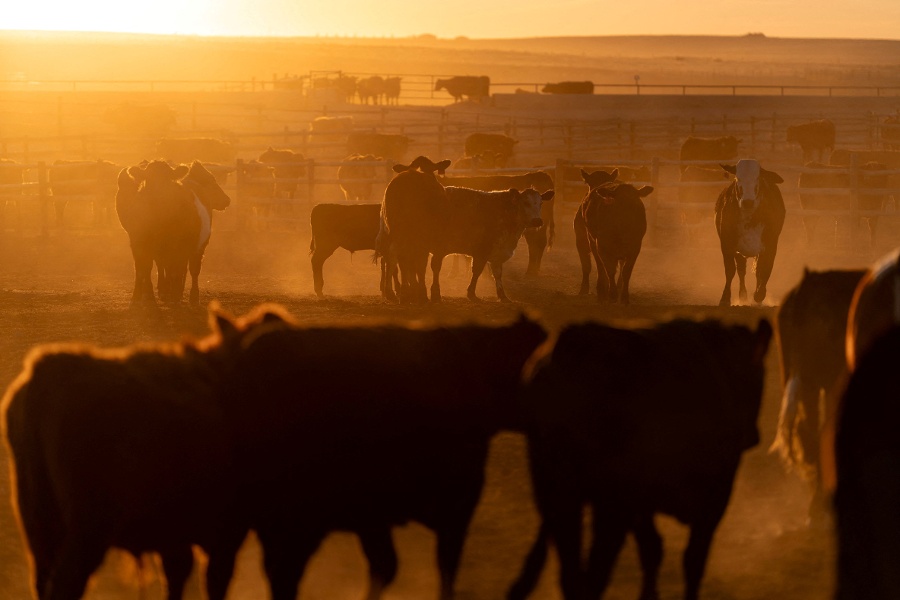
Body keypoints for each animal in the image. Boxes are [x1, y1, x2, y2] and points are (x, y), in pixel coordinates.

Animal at [116, 160, 230, 307]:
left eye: (169, 181)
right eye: (148, 181)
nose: (227, 200)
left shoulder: (180, 246)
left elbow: (175, 270)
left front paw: (173, 295)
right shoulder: (138, 243)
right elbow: (144, 268)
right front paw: (145, 296)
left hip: (198, 246)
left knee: (193, 269)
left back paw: (190, 296)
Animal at [508, 318, 772, 600]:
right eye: (758, 378)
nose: (754, 436)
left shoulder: (643, 503)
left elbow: (653, 550)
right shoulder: (715, 497)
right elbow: (692, 561)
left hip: (556, 491)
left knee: (573, 575)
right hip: (608, 501)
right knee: (594, 574)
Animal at [715, 160, 786, 306]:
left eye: (757, 178)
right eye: (738, 178)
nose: (748, 202)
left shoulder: (771, 244)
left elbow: (765, 268)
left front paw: (759, 295)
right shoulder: (727, 243)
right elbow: (730, 270)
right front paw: (725, 298)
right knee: (741, 271)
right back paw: (743, 296)